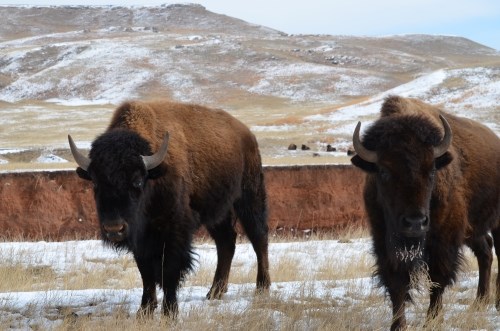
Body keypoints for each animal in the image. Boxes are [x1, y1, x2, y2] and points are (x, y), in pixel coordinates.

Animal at [69, 100, 272, 318]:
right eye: (96, 183)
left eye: (137, 181)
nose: (114, 229)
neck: (154, 175)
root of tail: (247, 134)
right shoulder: (141, 239)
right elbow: (146, 272)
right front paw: (145, 310)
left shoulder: (174, 231)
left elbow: (170, 270)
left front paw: (170, 312)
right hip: (218, 212)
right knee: (226, 242)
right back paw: (214, 292)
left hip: (249, 198)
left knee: (259, 238)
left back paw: (262, 287)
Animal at [352, 95, 500, 330]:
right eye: (383, 171)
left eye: (431, 170)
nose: (415, 223)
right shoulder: (385, 242)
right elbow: (397, 284)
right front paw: (398, 325)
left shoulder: (445, 239)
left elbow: (437, 279)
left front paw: (432, 320)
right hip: (472, 230)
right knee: (485, 251)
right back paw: (480, 302)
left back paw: (495, 304)